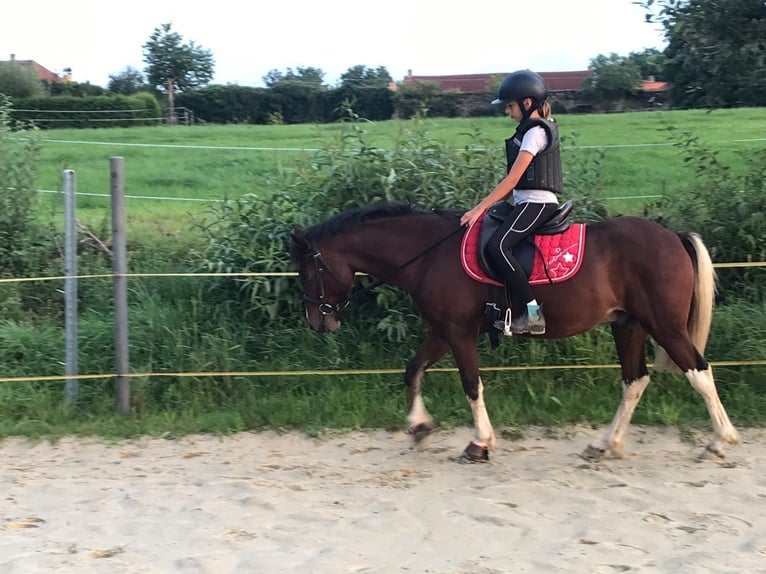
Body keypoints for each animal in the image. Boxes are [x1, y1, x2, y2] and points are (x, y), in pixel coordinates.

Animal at [290, 202, 739, 462]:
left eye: (308, 271)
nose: (318, 321)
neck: (430, 253)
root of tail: (672, 237)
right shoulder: (444, 331)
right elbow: (412, 370)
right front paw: (419, 427)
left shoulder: (459, 333)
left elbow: (471, 386)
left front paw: (479, 443)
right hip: (628, 326)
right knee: (634, 381)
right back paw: (604, 445)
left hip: (664, 326)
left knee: (699, 372)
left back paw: (720, 440)